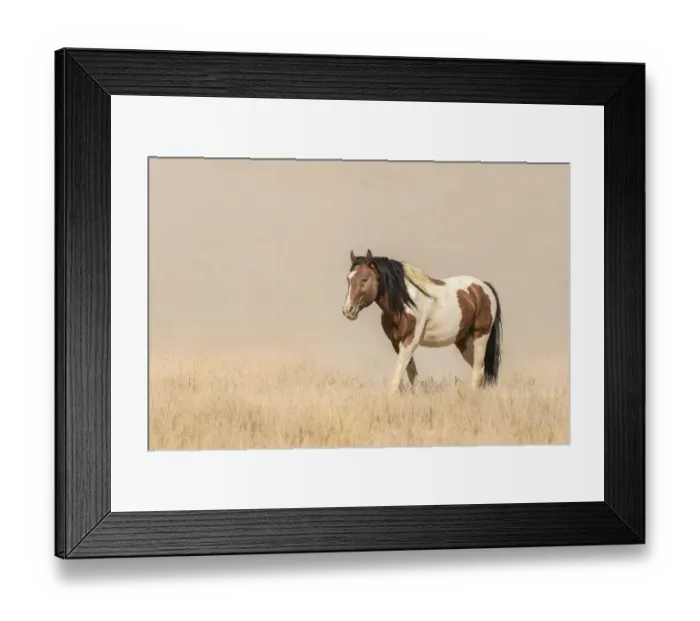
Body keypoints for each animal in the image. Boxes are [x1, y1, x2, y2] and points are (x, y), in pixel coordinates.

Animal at [342, 249, 503, 395]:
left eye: (364, 279)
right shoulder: (397, 343)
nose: (348, 310)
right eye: (349, 279)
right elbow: (412, 374)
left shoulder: (410, 341)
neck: (404, 303)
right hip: (464, 341)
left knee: (478, 369)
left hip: (480, 336)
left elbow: (397, 375)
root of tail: (484, 287)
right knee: (480, 369)